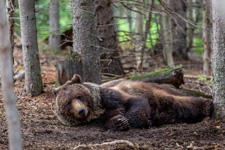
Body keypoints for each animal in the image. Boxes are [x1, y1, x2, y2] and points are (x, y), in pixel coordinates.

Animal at [53, 74, 214, 131]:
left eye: (79, 96)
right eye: (68, 102)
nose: (81, 111)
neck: (96, 110)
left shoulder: (108, 96)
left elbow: (134, 103)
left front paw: (131, 120)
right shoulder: (96, 120)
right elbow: (106, 122)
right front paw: (118, 122)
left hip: (155, 92)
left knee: (177, 101)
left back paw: (207, 106)